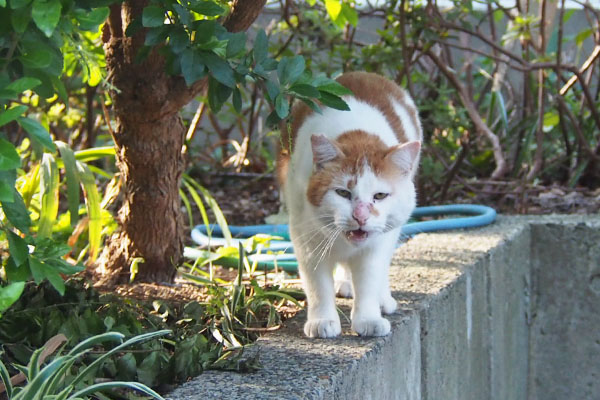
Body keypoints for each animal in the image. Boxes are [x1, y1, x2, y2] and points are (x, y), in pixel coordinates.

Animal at [278, 72, 422, 338]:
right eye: (343, 193)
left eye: (379, 196)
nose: (360, 216)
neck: (359, 138)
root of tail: (362, 74)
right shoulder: (306, 239)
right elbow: (318, 285)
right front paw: (322, 321)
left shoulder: (375, 246)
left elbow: (368, 281)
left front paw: (368, 320)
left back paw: (382, 300)